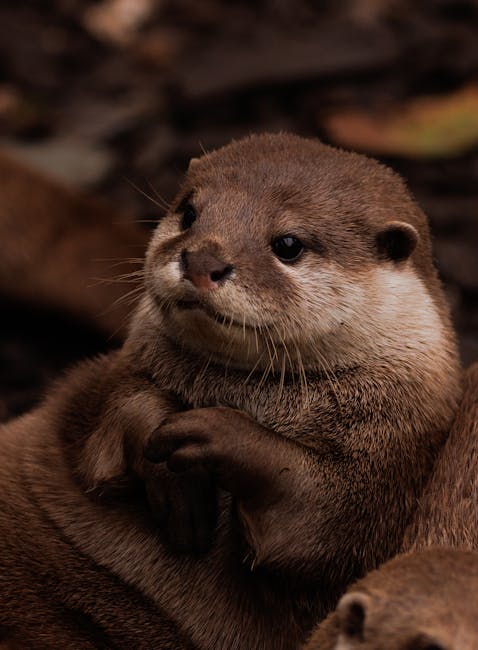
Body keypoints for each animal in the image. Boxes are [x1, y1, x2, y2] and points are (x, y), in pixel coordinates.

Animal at [0, 134, 464, 644]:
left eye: (288, 244)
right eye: (189, 213)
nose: (203, 259)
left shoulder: (386, 468)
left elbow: (312, 525)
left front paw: (213, 434)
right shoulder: (96, 393)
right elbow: (111, 412)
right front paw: (166, 456)